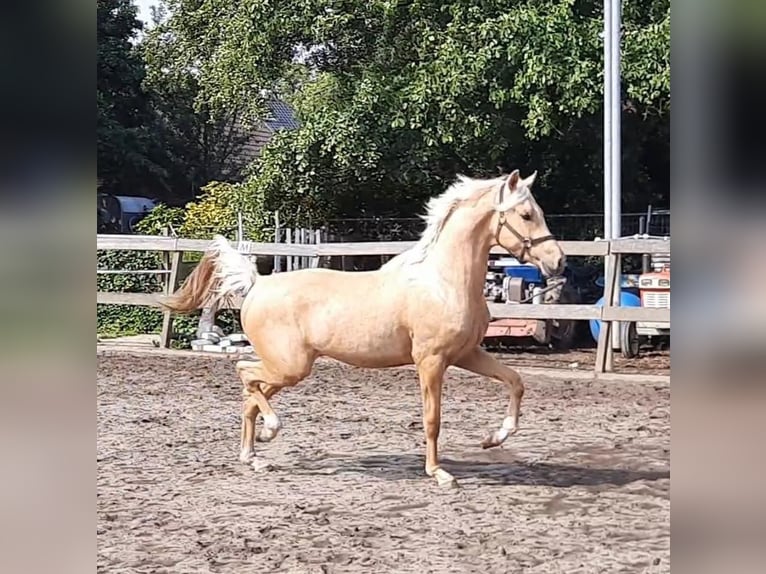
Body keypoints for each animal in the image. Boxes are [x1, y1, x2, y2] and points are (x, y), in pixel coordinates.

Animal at [165, 172, 564, 490]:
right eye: (526, 214)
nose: (558, 261)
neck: (443, 281)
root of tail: (257, 283)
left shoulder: (466, 353)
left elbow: (515, 382)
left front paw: (492, 439)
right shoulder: (431, 361)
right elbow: (432, 419)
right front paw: (439, 474)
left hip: (286, 368)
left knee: (251, 393)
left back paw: (254, 456)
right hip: (289, 366)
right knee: (245, 374)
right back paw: (270, 430)